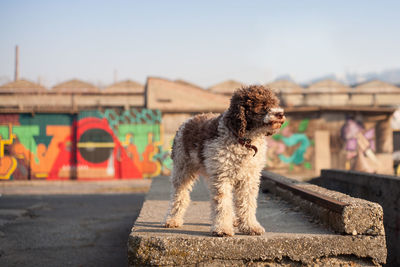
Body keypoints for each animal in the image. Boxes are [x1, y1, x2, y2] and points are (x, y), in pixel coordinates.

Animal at [164, 85, 286, 237]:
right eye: (262, 105)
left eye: (275, 103)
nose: (280, 113)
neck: (244, 141)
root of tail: (189, 120)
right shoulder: (221, 176)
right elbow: (222, 203)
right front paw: (222, 228)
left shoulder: (249, 178)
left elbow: (247, 202)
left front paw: (250, 226)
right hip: (182, 168)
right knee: (179, 195)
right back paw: (173, 219)